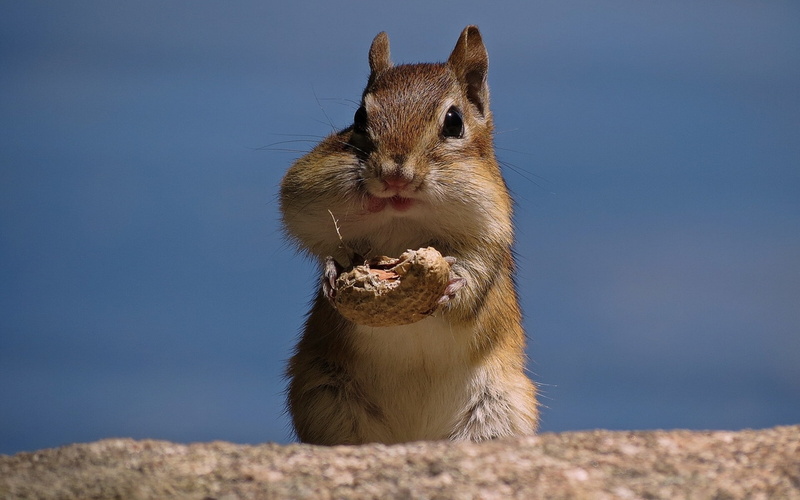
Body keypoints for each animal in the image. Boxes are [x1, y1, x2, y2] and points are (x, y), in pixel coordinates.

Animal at [280, 26, 538, 445]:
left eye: (454, 122)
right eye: (359, 118)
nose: (394, 176)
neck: (404, 221)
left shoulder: (491, 232)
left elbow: (475, 278)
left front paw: (453, 285)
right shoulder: (305, 195)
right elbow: (318, 237)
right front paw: (333, 273)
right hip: (327, 400)